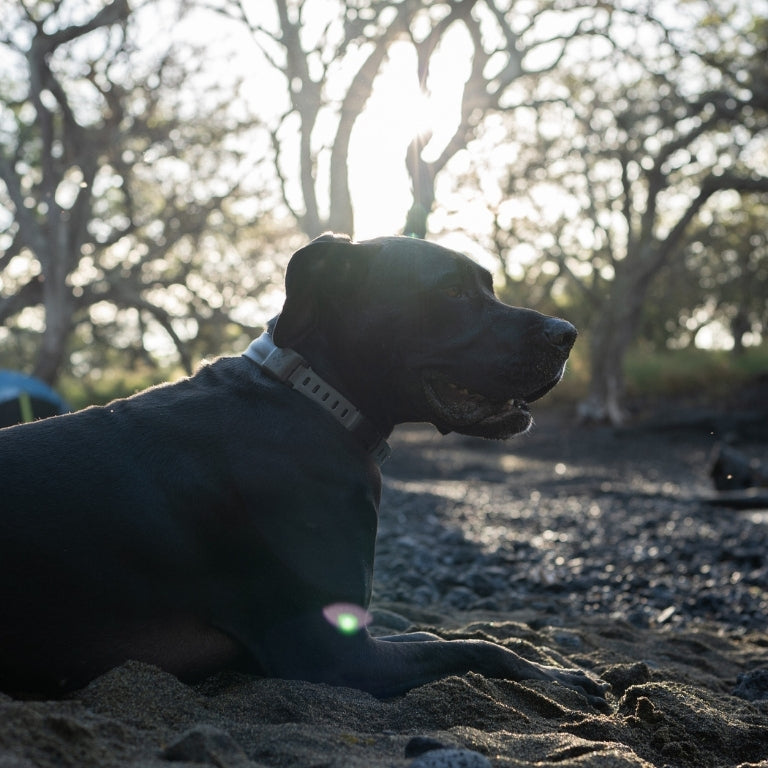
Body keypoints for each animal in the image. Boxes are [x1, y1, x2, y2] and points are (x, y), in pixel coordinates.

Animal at [0, 232, 608, 708]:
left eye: (488, 285)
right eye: (452, 291)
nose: (568, 333)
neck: (318, 400)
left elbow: (438, 638)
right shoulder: (330, 653)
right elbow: (476, 645)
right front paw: (557, 675)